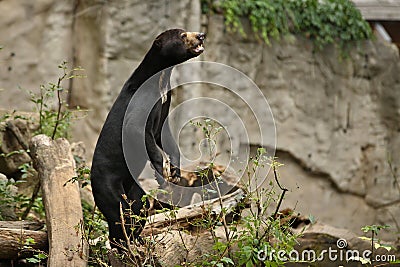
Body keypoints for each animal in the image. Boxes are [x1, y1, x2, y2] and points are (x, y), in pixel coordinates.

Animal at [90, 28, 203, 248]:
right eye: (183, 35)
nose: (201, 35)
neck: (160, 79)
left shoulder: (164, 104)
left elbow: (164, 136)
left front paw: (175, 172)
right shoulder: (141, 104)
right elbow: (138, 131)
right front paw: (163, 171)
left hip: (135, 187)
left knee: (138, 208)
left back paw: (138, 240)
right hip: (106, 183)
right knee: (119, 212)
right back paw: (125, 245)